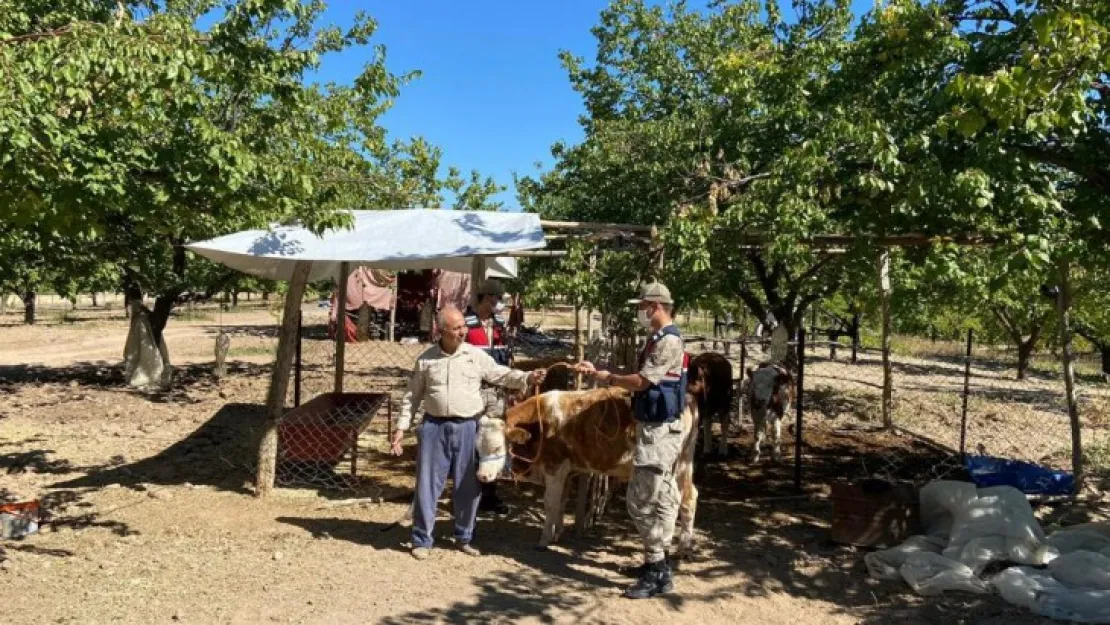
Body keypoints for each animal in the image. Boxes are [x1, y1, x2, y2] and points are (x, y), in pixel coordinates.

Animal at [472, 388, 697, 555]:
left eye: (497, 448)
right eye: (477, 449)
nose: (482, 476)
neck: (540, 423)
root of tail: (687, 398)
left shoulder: (555, 467)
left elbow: (551, 503)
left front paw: (544, 540)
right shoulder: (567, 471)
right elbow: (561, 503)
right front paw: (557, 533)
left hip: (668, 468)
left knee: (672, 502)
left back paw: (666, 544)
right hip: (684, 464)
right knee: (689, 498)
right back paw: (683, 547)